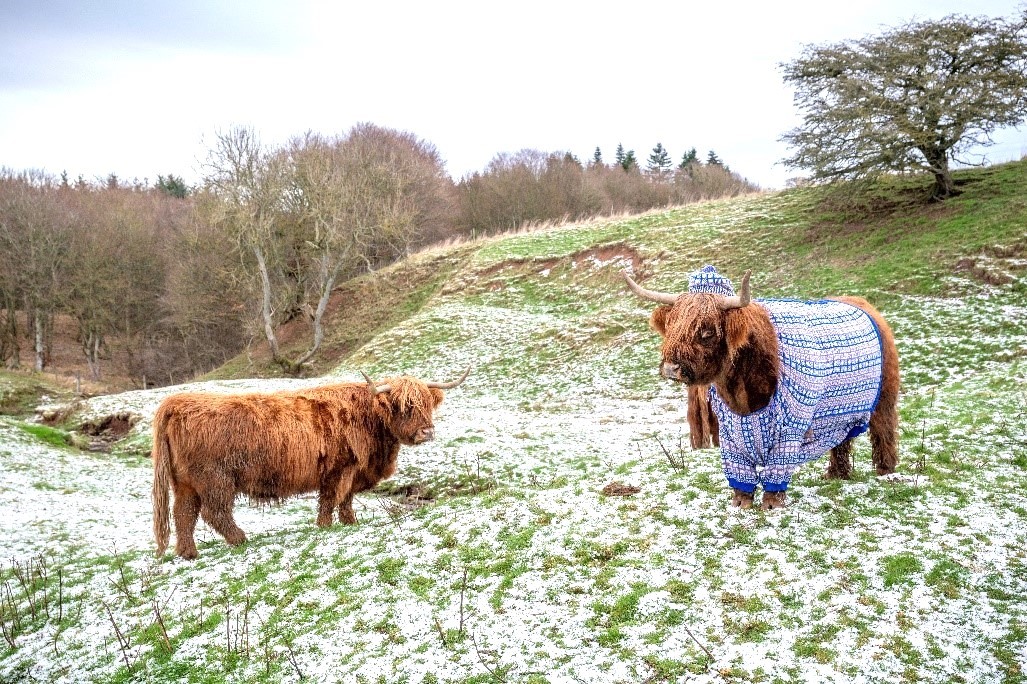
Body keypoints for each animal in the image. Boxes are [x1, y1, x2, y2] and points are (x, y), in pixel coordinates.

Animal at [149, 367, 470, 554]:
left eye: (427, 405)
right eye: (403, 406)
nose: (427, 431)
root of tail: (177, 403)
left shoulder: (351, 471)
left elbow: (345, 499)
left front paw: (350, 522)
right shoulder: (339, 468)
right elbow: (330, 498)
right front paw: (325, 526)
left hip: (186, 484)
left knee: (184, 514)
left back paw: (188, 553)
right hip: (215, 480)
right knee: (213, 512)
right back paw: (240, 539)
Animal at [616, 264, 899, 505]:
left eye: (707, 331)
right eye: (672, 325)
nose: (671, 368)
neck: (742, 394)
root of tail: (863, 304)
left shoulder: (790, 428)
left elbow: (777, 467)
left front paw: (772, 504)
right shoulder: (730, 431)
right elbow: (739, 471)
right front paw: (741, 503)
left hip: (883, 397)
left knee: (883, 430)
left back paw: (885, 471)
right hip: (839, 413)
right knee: (842, 440)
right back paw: (836, 474)